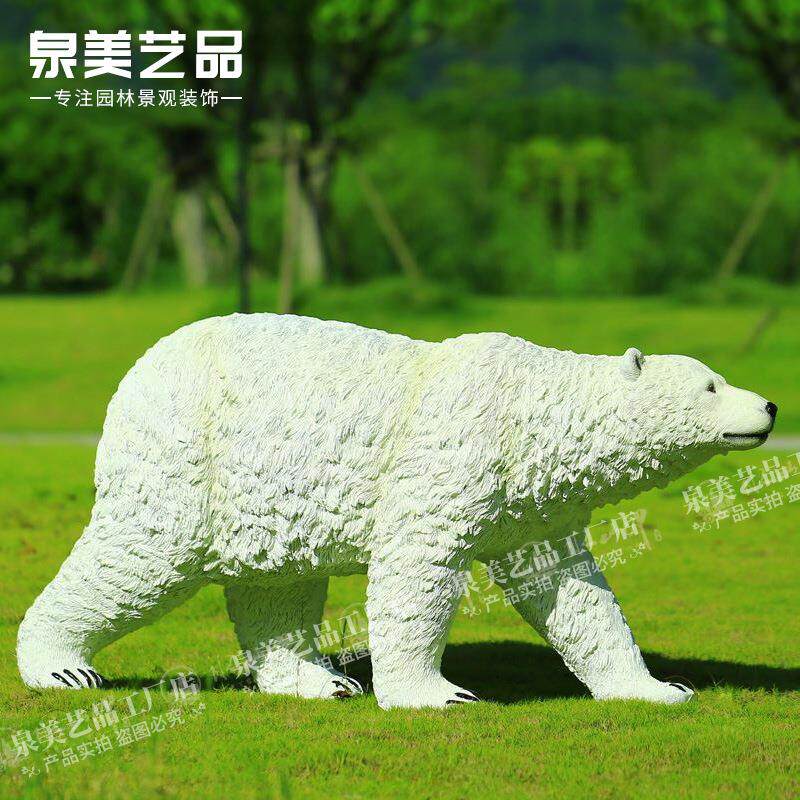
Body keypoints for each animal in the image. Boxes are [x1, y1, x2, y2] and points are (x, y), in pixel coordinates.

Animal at [17, 314, 777, 708]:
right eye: (711, 385)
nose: (770, 405)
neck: (532, 414)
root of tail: (136, 373)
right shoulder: (458, 449)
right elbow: (418, 566)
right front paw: (438, 694)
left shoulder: (535, 505)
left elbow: (573, 593)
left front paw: (658, 687)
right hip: (187, 458)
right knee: (138, 557)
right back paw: (61, 667)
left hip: (266, 495)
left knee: (277, 585)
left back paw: (321, 681)